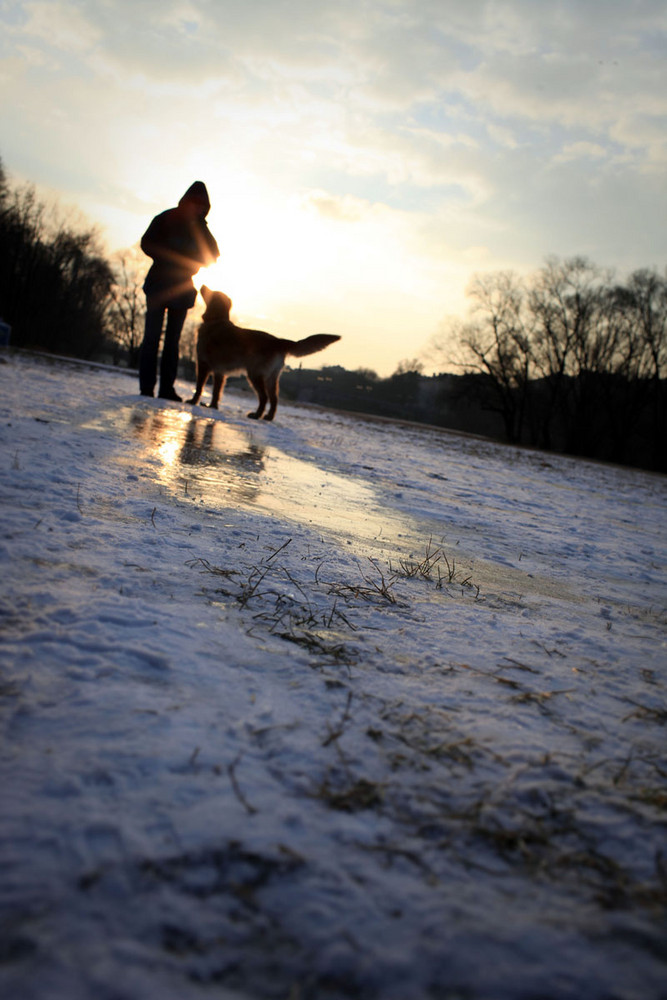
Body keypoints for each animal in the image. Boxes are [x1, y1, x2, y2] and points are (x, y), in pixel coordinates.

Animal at [188, 284, 342, 420]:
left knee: (264, 397)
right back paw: (268, 417)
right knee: (274, 399)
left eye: (211, 292)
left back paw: (257, 415)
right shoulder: (220, 372)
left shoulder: (203, 365)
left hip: (255, 375)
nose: (203, 285)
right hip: (271, 378)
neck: (217, 320)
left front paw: (193, 401)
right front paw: (213, 406)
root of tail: (278, 341)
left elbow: (199, 387)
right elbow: (216, 392)